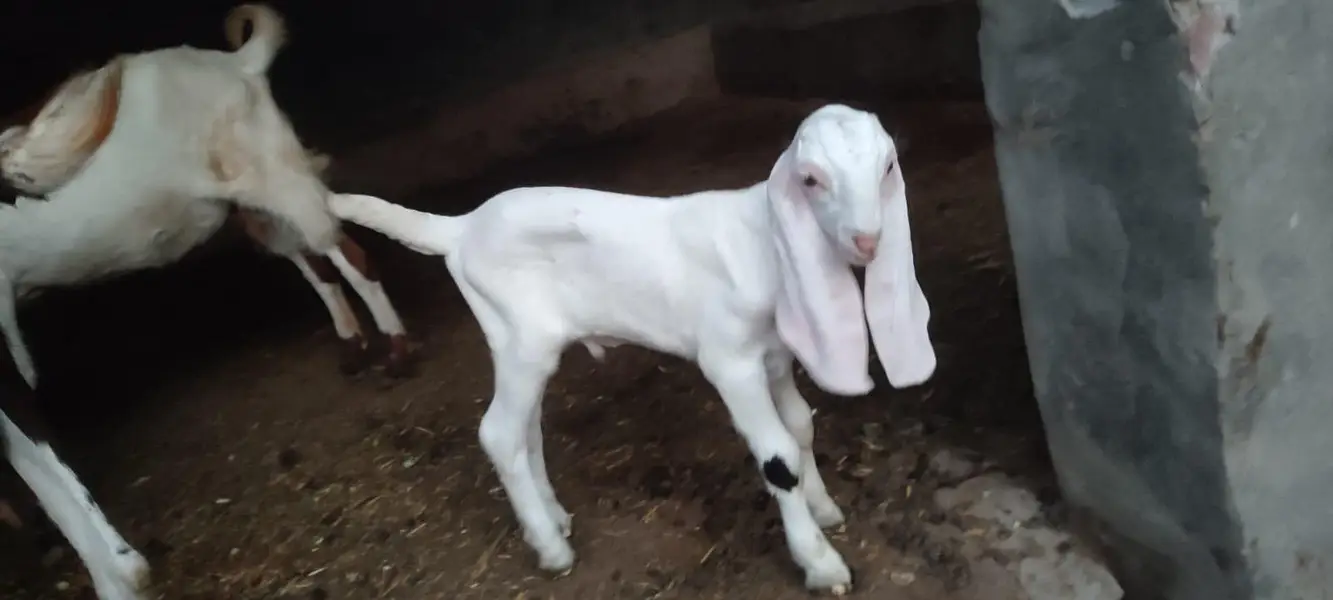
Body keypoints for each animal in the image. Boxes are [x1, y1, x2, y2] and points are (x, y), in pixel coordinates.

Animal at [0, 5, 413, 388]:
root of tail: (238, 62)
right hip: (259, 205)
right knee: (316, 265)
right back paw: (354, 348)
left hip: (281, 182)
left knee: (348, 257)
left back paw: (395, 353)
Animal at [326, 104, 936, 594]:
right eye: (810, 180)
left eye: (886, 168)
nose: (867, 241)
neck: (760, 242)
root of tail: (460, 229)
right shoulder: (729, 361)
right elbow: (778, 457)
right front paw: (821, 563)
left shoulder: (775, 356)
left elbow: (801, 426)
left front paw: (825, 507)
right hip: (524, 339)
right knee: (498, 433)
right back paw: (551, 548)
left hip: (519, 345)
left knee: (525, 432)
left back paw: (553, 517)